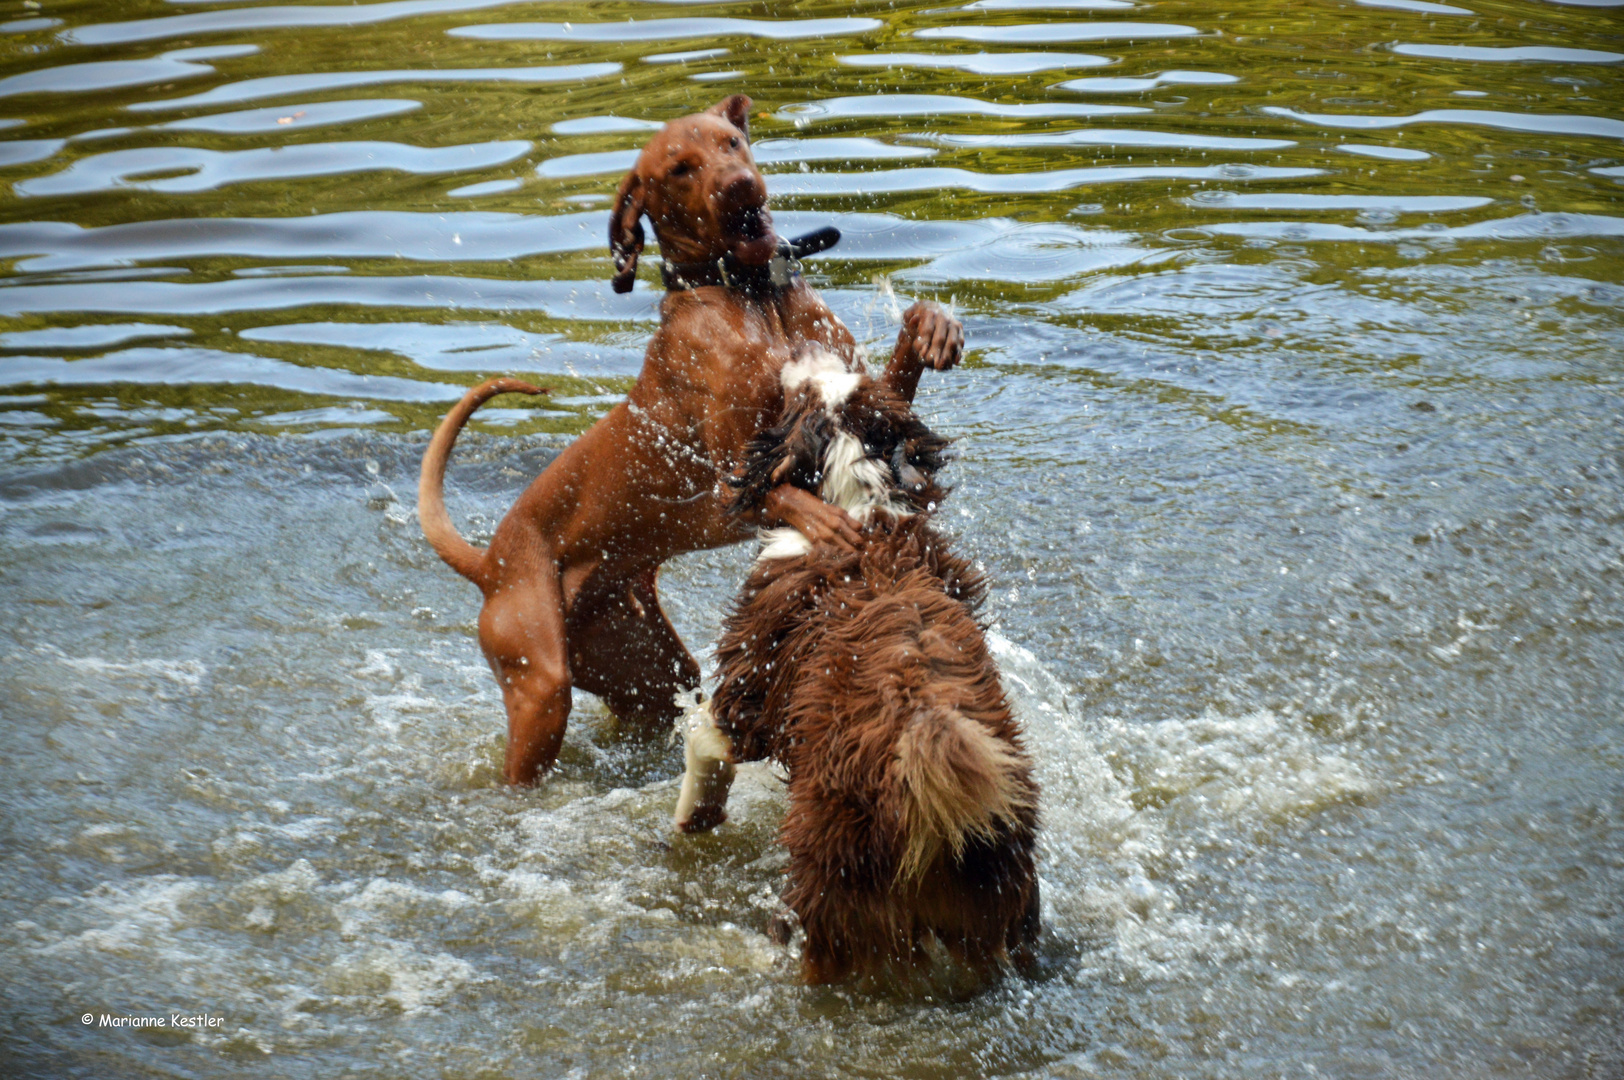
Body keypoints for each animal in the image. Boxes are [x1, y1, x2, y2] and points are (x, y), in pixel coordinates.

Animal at [412, 92, 961, 779]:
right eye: (679, 168)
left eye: (731, 143)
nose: (740, 186)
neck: (751, 295)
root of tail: (490, 563)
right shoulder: (735, 471)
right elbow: (780, 494)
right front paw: (829, 525)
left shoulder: (858, 396)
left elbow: (896, 386)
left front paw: (933, 327)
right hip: (540, 689)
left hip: (645, 663)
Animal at [675, 347, 1039, 987]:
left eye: (801, 397)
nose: (804, 354)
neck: (865, 511)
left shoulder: (753, 689)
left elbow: (704, 734)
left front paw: (692, 814)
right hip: (994, 902)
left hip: (832, 881)